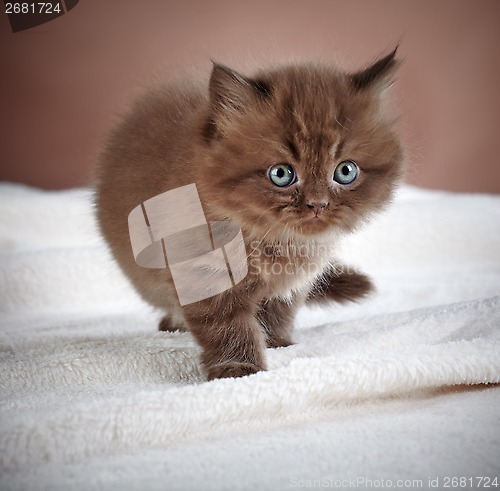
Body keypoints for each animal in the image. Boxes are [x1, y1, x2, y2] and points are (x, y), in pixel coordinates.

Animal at [95, 49, 404, 380]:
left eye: (345, 172)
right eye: (281, 174)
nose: (318, 204)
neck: (273, 241)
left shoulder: (293, 282)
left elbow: (278, 311)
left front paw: (277, 343)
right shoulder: (201, 272)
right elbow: (227, 326)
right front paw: (238, 368)